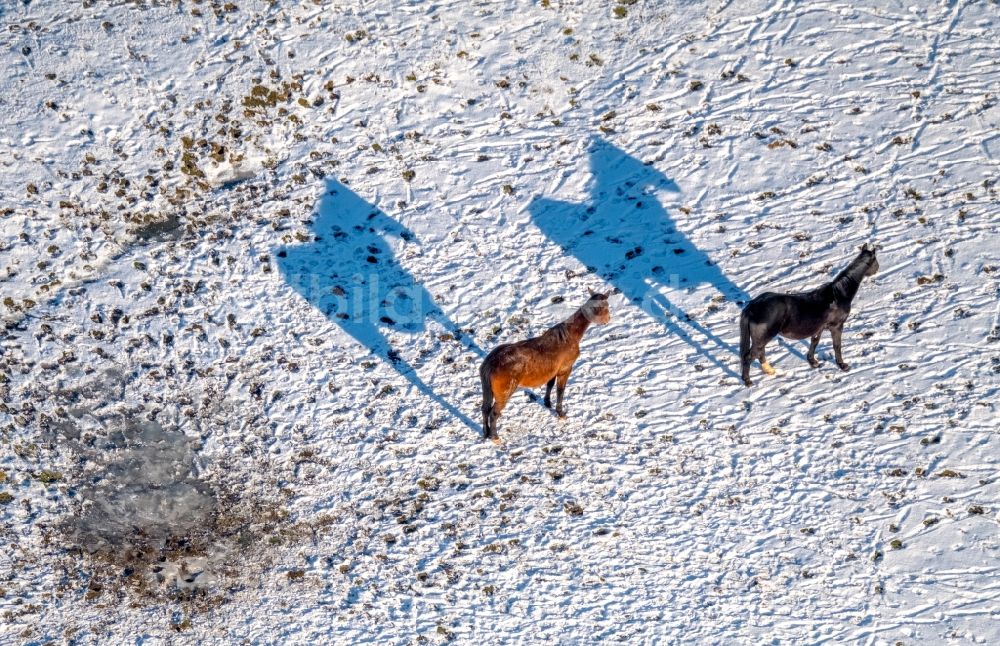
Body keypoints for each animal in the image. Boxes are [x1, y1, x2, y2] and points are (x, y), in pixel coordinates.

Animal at [478, 294, 608, 446]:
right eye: (604, 306)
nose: (608, 320)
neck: (569, 335)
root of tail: (491, 362)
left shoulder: (552, 371)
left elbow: (550, 385)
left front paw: (547, 403)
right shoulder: (565, 370)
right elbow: (560, 391)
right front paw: (560, 413)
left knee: (485, 409)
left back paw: (486, 433)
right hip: (503, 395)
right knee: (493, 414)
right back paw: (495, 437)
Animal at [740, 246, 880, 388]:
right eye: (875, 261)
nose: (877, 269)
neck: (838, 294)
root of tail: (752, 307)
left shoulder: (819, 328)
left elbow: (815, 342)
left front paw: (813, 362)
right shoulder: (837, 326)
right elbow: (837, 345)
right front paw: (843, 365)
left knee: (760, 353)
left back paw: (770, 371)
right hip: (763, 337)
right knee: (750, 356)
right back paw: (748, 381)